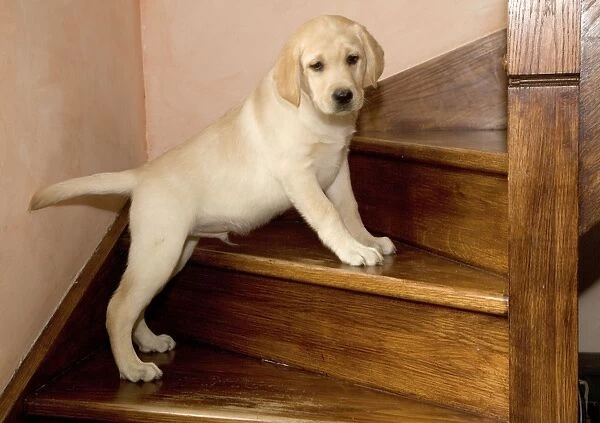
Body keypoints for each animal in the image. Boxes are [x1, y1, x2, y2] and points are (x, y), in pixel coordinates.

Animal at [29, 14, 394, 382]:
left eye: (353, 59)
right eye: (316, 66)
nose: (344, 95)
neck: (316, 115)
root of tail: (142, 174)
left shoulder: (338, 167)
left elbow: (349, 209)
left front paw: (367, 240)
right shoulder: (298, 173)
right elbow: (328, 214)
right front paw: (352, 251)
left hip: (174, 255)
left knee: (137, 306)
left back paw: (148, 341)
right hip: (159, 253)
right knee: (119, 307)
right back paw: (132, 368)